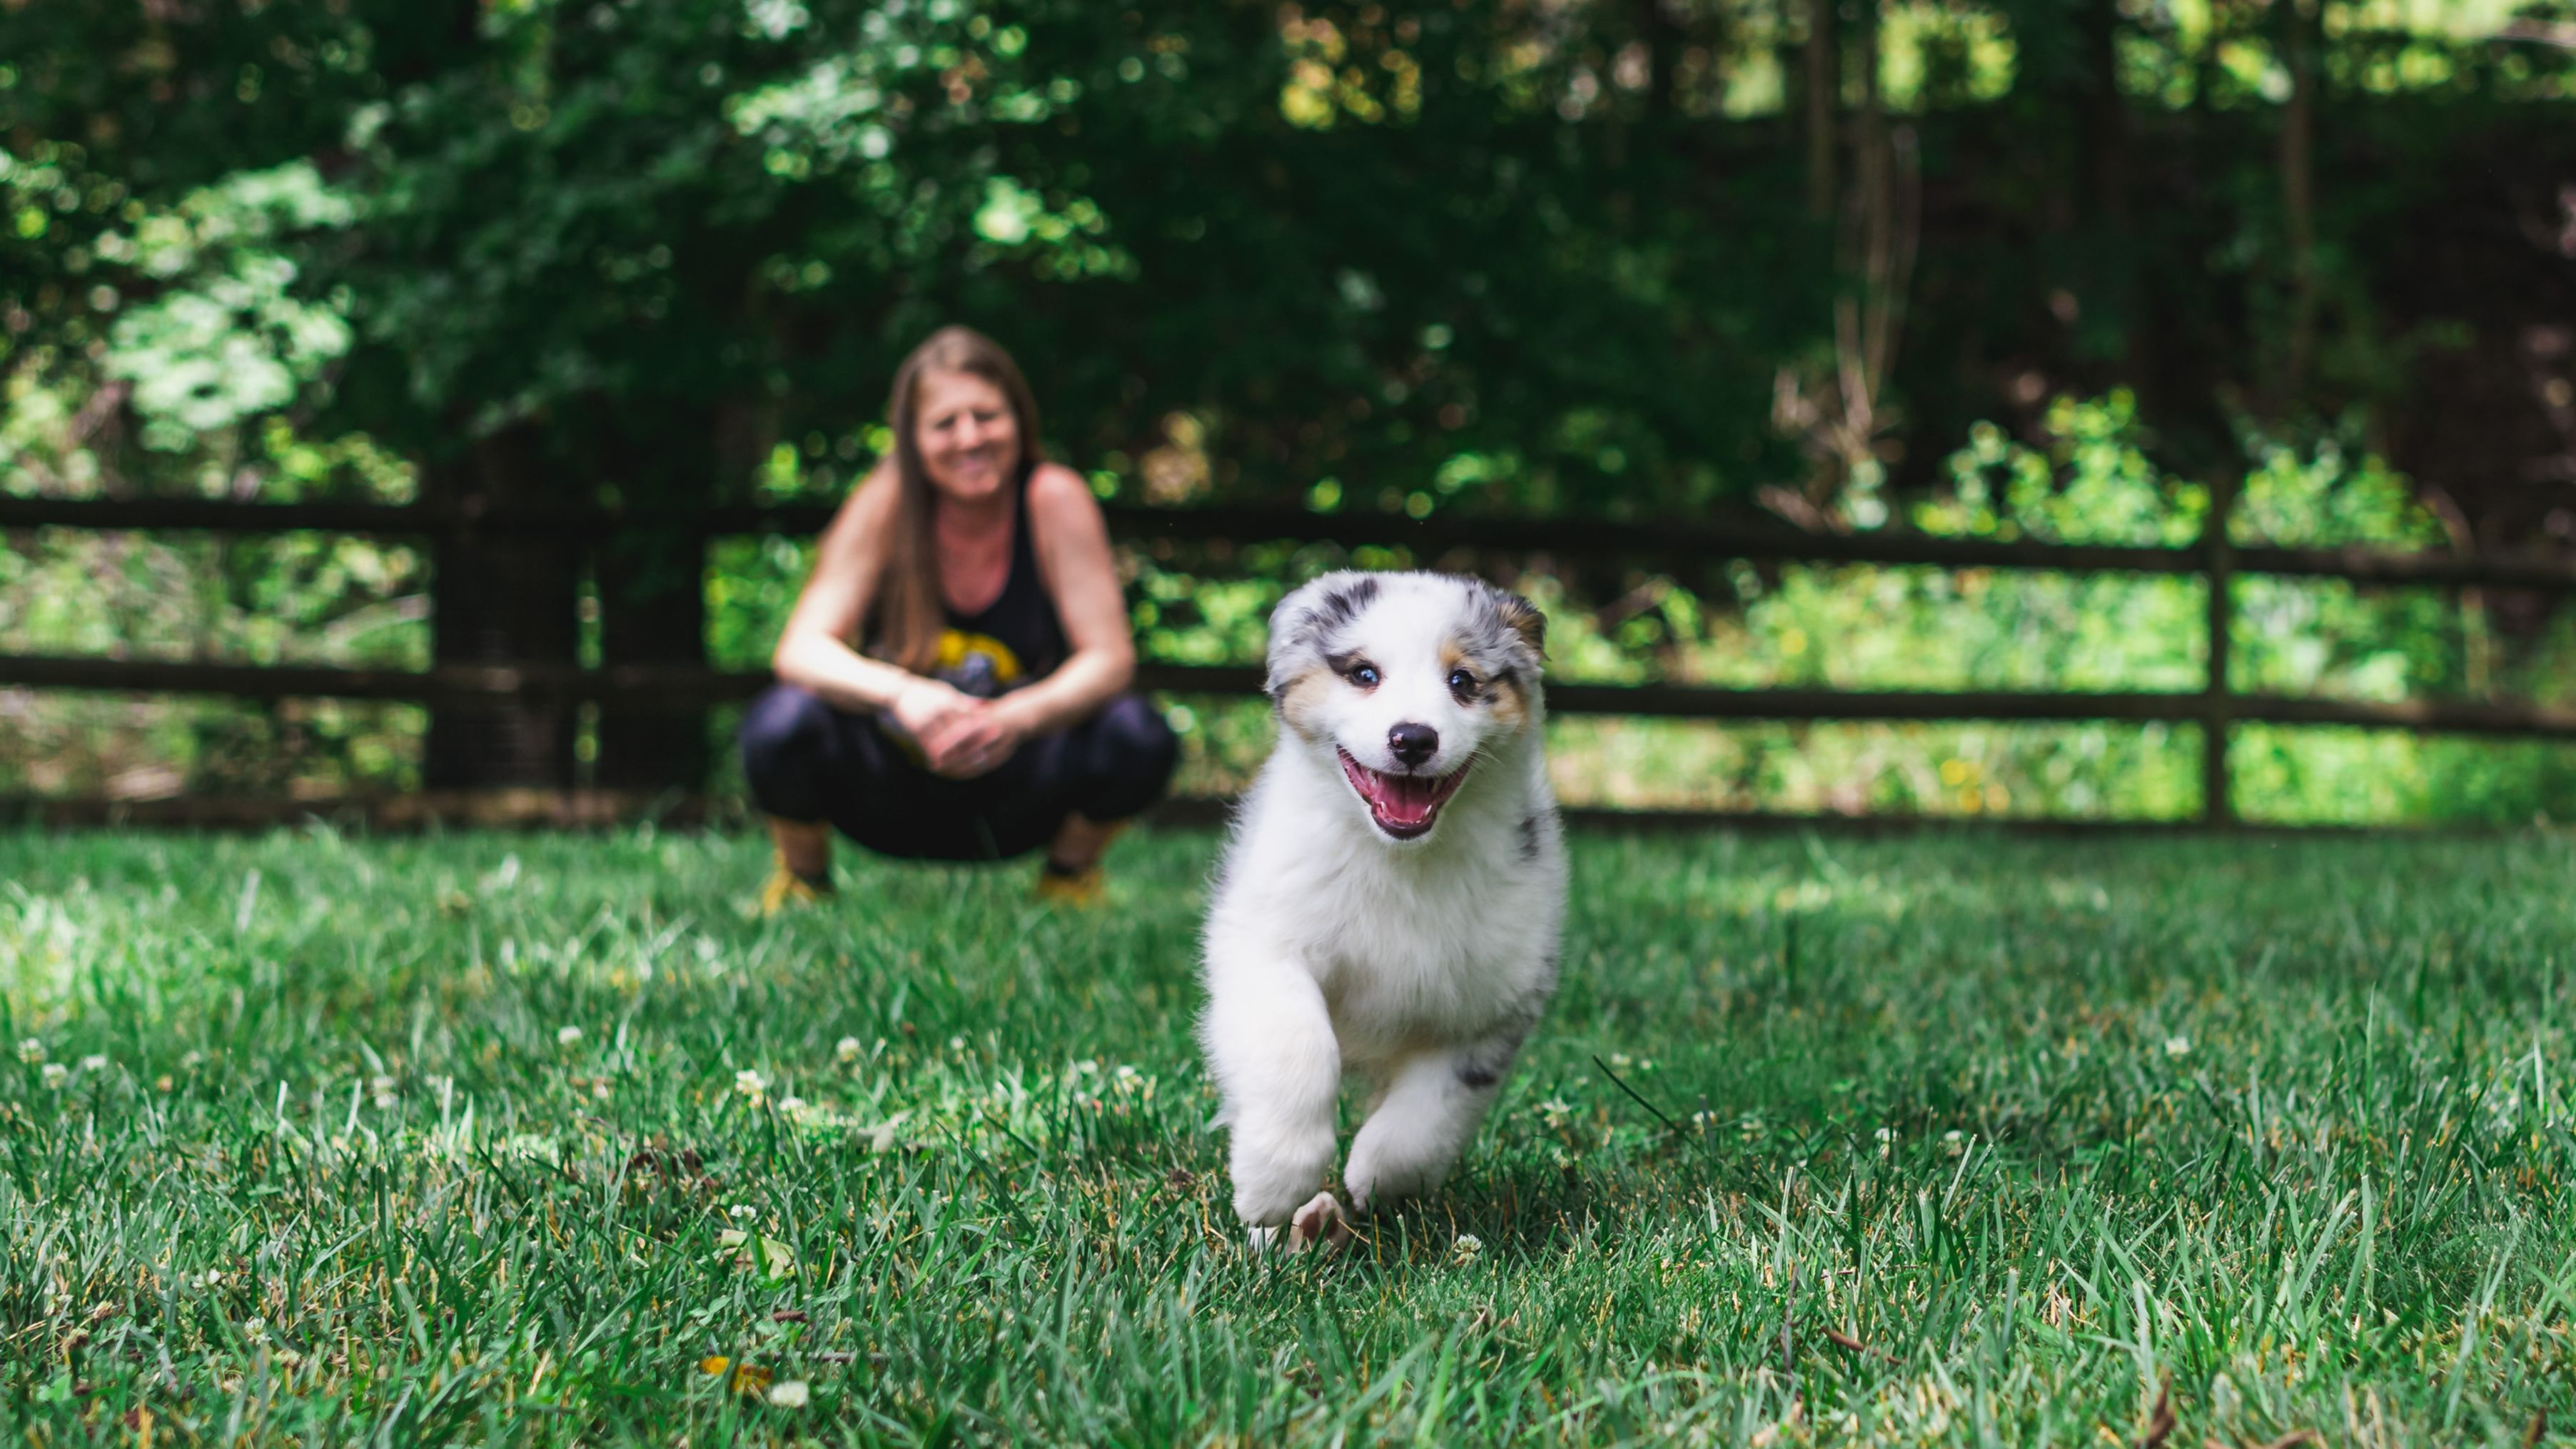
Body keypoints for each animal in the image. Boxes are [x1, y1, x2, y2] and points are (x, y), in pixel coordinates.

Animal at [1200, 570, 1566, 1251]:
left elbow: (1425, 1119)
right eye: (1364, 674)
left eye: (1463, 681)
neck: (1399, 860)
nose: (1413, 738)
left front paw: (1374, 1177)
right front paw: (1272, 1184)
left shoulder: (1488, 1006)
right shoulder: (1266, 946)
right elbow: (1300, 1049)